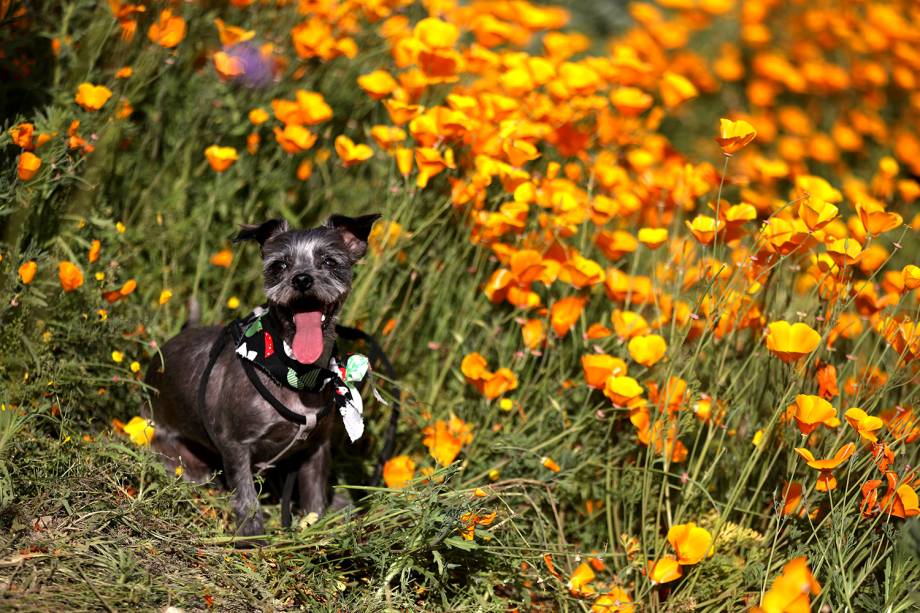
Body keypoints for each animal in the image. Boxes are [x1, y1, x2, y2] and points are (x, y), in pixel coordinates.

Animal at [143, 214, 378, 536]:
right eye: (279, 266)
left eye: (330, 262)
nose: (302, 279)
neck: (294, 372)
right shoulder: (235, 445)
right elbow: (246, 495)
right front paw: (251, 535)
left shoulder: (316, 448)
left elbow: (315, 495)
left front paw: (313, 529)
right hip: (185, 462)